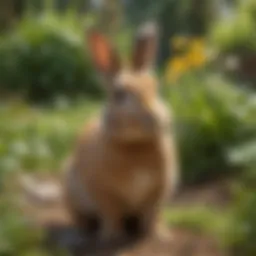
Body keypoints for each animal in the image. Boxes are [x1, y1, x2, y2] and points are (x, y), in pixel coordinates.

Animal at [62, 22, 179, 244]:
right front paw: (112, 237)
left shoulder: (158, 192)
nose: (160, 119)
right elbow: (111, 214)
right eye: (119, 94)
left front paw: (159, 236)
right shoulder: (104, 193)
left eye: (154, 86)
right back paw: (82, 234)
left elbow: (153, 214)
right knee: (79, 218)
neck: (135, 144)